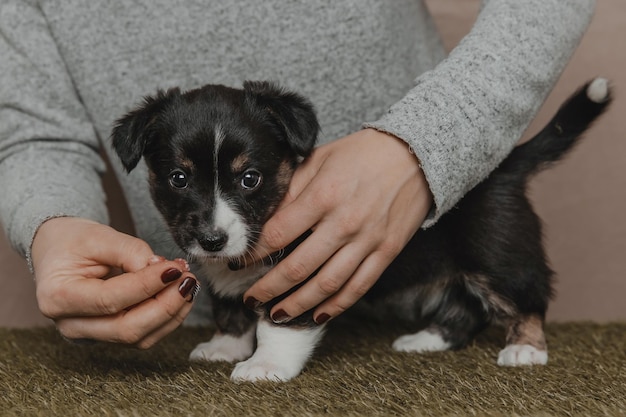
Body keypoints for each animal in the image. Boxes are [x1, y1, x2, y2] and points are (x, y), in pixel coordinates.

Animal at [111, 77, 608, 380]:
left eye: (250, 178)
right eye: (179, 178)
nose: (212, 240)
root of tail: (506, 165)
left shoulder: (303, 277)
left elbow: (276, 323)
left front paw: (264, 365)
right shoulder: (227, 280)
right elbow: (231, 311)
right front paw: (225, 347)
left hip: (498, 256)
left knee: (528, 299)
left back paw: (526, 349)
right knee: (467, 308)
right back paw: (425, 340)